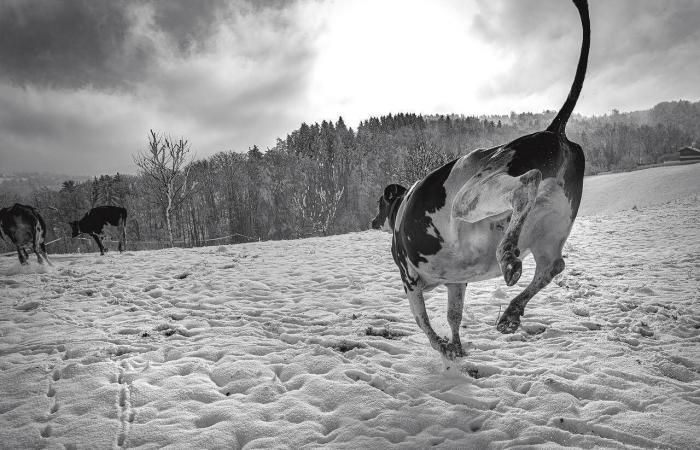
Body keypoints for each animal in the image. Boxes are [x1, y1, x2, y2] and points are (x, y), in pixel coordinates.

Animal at [372, 0, 592, 360]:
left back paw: (508, 259)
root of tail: (551, 132)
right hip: (554, 221)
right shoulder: (456, 281)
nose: (373, 220)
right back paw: (511, 314)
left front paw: (443, 348)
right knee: (552, 266)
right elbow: (453, 315)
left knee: (525, 187)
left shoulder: (409, 280)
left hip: (471, 196)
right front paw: (457, 348)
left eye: (380, 202)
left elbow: (423, 323)